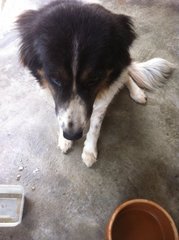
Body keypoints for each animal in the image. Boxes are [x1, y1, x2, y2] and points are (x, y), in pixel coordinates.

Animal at [16, 0, 173, 167]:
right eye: (55, 80)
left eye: (93, 79)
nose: (72, 135)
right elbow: (60, 114)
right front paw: (64, 140)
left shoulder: (102, 103)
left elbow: (95, 128)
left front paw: (89, 151)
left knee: (126, 74)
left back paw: (137, 93)